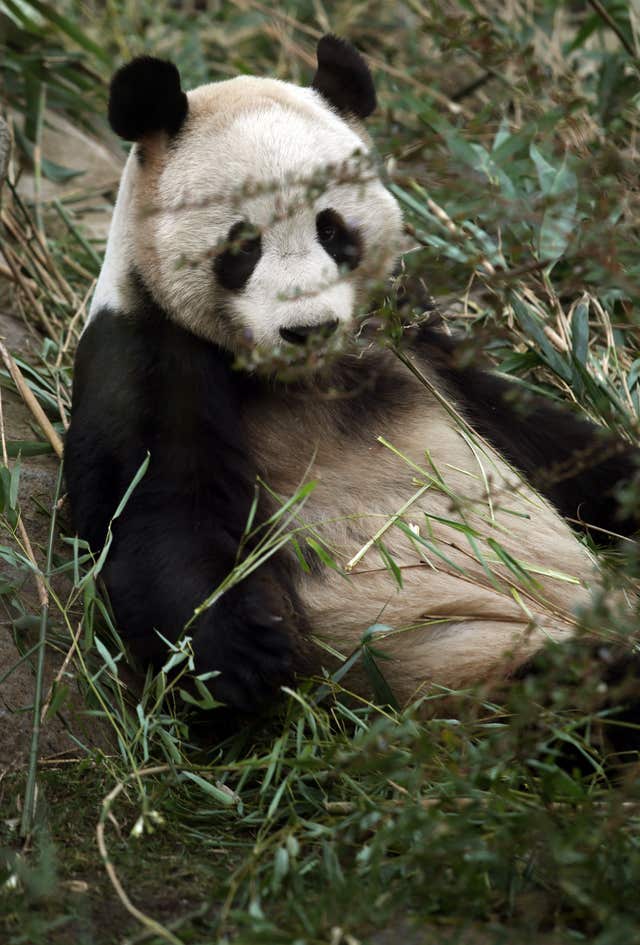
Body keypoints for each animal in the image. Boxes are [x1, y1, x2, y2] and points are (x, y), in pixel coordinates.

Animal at [62, 38, 636, 716]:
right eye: (243, 245)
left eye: (332, 229)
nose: (308, 328)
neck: (309, 377)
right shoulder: (146, 354)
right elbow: (156, 512)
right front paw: (243, 658)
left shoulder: (412, 340)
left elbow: (538, 434)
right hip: (467, 653)